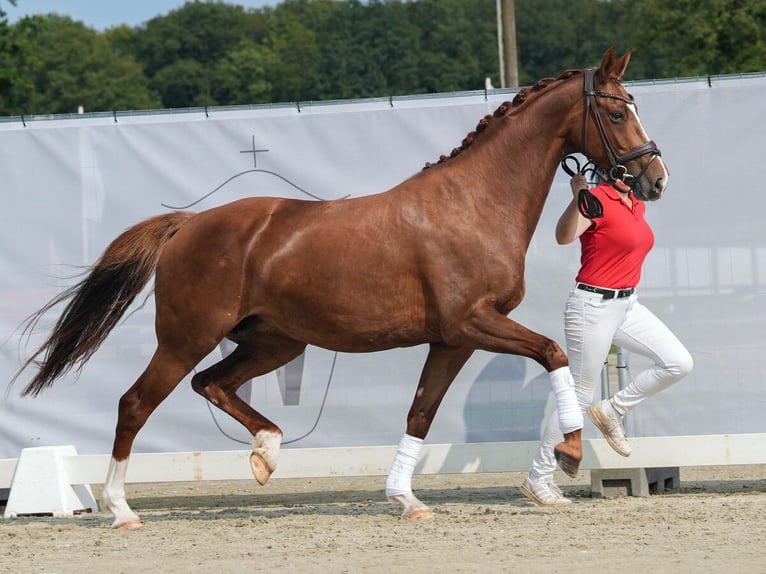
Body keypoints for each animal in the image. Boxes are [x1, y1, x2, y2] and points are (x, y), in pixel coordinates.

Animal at [15, 49, 668, 532]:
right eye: (615, 113)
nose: (654, 180)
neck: (474, 203)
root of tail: (188, 223)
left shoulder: (452, 339)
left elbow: (421, 411)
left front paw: (406, 499)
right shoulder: (471, 323)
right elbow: (553, 353)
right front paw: (570, 454)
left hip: (276, 343)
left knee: (212, 384)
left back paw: (266, 454)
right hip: (186, 338)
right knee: (135, 404)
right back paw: (121, 510)